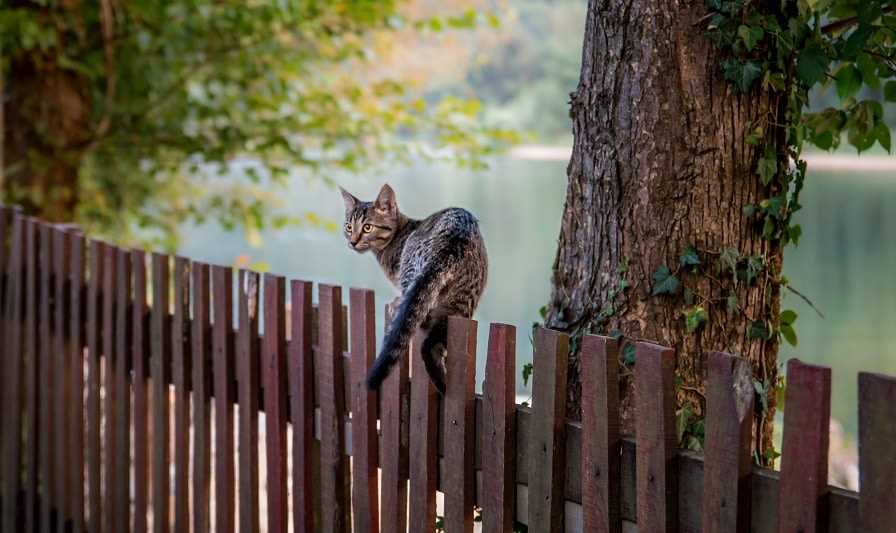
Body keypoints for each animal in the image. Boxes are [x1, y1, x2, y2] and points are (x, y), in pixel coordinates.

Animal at [338, 185, 490, 392]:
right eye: (348, 227)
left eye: (367, 227)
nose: (352, 241)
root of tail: (451, 245)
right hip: (462, 302)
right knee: (432, 343)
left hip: (412, 268)